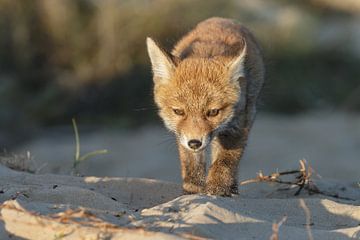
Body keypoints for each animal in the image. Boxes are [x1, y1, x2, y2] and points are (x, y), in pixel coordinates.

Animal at [146, 17, 264, 196]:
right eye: (179, 111)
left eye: (213, 112)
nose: (195, 143)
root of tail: (221, 19)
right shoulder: (183, 136)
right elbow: (191, 166)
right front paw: (193, 192)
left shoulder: (238, 124)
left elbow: (225, 161)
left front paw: (217, 188)